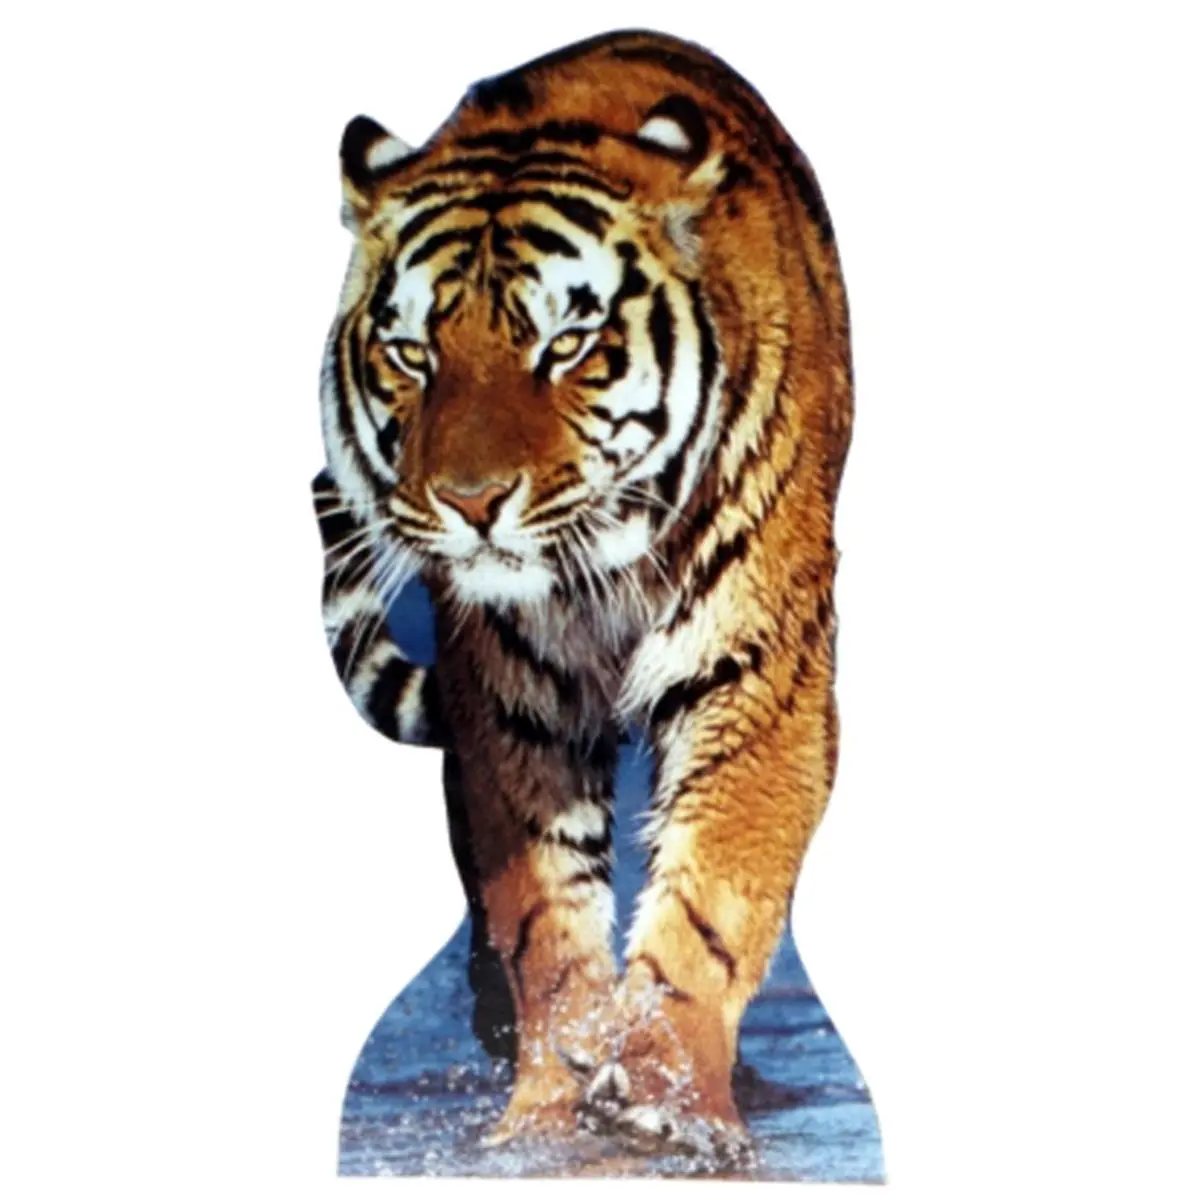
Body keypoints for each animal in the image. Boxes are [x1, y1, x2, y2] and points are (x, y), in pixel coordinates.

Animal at [313, 28, 853, 1162]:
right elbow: (540, 913)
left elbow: (712, 894)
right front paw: (551, 1113)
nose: (472, 502)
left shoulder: (757, 672)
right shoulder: (511, 696)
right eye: (411, 354)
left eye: (563, 346)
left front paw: (665, 1093)